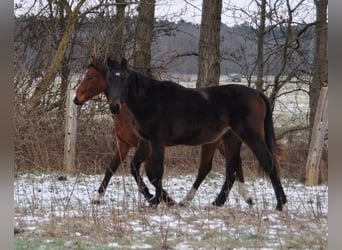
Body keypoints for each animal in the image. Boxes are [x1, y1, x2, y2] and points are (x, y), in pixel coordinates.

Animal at [73, 57, 252, 207]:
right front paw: (97, 197)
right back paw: (243, 198)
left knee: (228, 166)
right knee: (231, 165)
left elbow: (149, 172)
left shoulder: (148, 144)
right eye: (109, 79)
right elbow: (112, 168)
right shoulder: (124, 144)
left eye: (90, 77)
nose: (76, 99)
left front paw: (158, 198)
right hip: (217, 142)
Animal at [106, 57, 286, 210]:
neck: (151, 100)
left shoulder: (157, 141)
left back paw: (279, 204)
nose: (114, 107)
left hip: (252, 136)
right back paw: (216, 203)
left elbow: (157, 171)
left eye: (123, 79)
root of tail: (257, 94)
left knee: (268, 163)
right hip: (231, 138)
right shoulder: (145, 142)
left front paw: (157, 200)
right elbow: (135, 168)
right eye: (109, 79)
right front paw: (153, 198)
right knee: (231, 170)